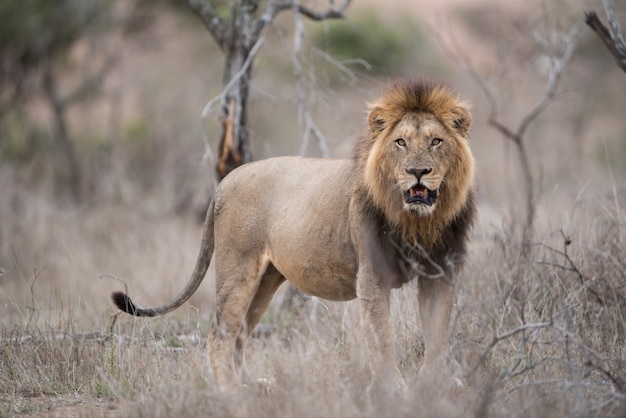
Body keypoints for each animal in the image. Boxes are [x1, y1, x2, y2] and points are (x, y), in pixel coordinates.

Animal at [112, 77, 472, 392]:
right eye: (400, 142)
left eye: (436, 141)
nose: (418, 172)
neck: (417, 222)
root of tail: (225, 181)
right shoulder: (373, 276)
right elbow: (383, 337)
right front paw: (393, 388)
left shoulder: (441, 273)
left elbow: (437, 332)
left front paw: (436, 384)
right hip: (237, 270)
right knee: (220, 335)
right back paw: (231, 391)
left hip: (266, 279)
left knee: (241, 333)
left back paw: (253, 384)